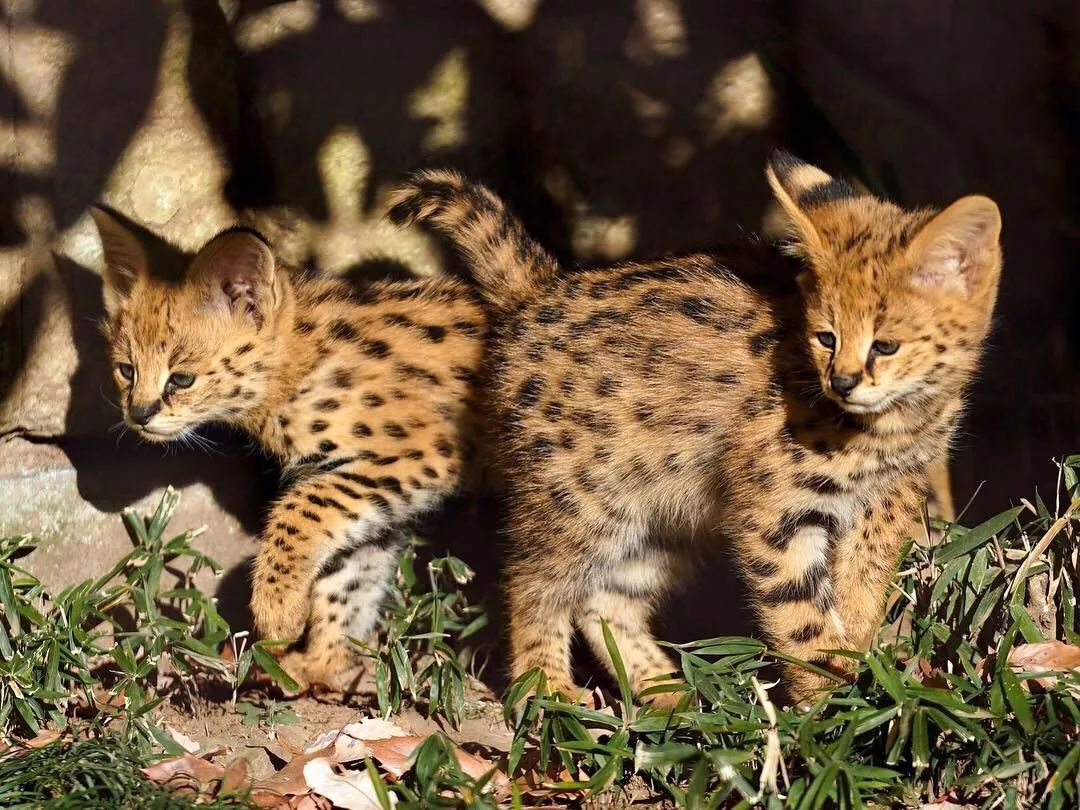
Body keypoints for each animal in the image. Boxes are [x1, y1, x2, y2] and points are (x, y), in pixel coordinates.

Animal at [92, 210, 486, 691]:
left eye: (181, 379)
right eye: (126, 370)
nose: (139, 414)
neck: (297, 364)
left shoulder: (423, 452)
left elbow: (297, 510)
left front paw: (278, 613)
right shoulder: (377, 492)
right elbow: (351, 576)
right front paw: (320, 661)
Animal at [393, 156, 1006, 704]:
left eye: (886, 345)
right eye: (826, 337)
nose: (844, 381)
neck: (891, 421)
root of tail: (540, 290)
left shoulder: (892, 492)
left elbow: (865, 575)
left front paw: (855, 653)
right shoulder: (773, 508)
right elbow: (799, 614)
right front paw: (828, 706)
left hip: (661, 513)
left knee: (604, 599)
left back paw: (669, 694)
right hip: (581, 497)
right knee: (532, 582)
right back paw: (546, 689)